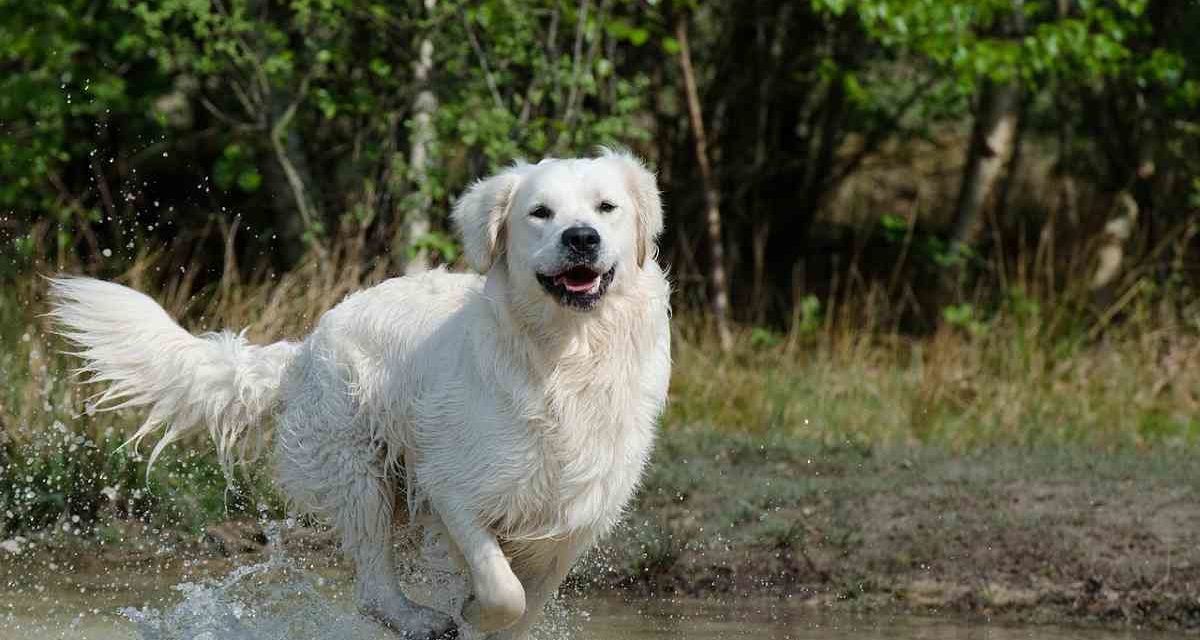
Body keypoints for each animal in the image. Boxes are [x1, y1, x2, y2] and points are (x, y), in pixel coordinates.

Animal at [46, 148, 676, 633]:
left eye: (607, 208)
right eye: (540, 213)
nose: (581, 238)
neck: (566, 358)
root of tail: (303, 349)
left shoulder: (577, 517)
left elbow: (528, 605)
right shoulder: (451, 488)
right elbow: (504, 592)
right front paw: (468, 608)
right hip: (359, 470)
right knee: (373, 587)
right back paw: (419, 619)